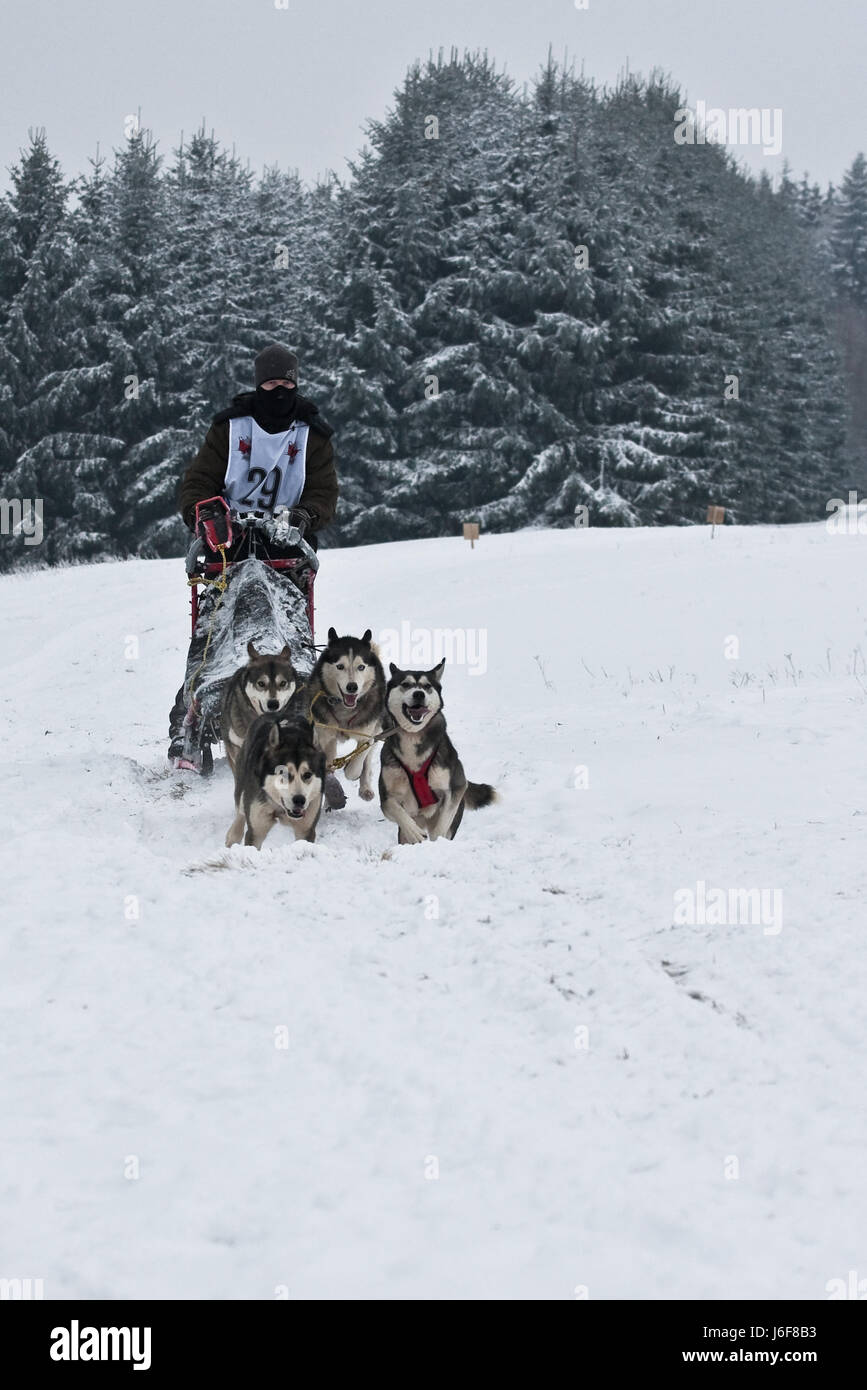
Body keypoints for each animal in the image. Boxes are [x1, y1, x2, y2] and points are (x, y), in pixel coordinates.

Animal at [226, 717, 325, 845]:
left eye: (307, 775)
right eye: (283, 772)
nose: (299, 800)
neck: (280, 809)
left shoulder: (306, 830)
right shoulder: (256, 830)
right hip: (241, 787)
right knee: (240, 810)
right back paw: (233, 836)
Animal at [304, 625, 386, 800]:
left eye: (361, 667)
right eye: (340, 666)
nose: (352, 687)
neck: (345, 709)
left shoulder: (367, 736)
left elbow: (356, 765)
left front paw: (351, 770)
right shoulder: (326, 734)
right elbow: (328, 757)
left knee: (367, 761)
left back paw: (365, 787)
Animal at [377, 661, 494, 845]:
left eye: (427, 686)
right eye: (405, 684)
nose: (419, 694)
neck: (413, 736)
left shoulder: (457, 787)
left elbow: (442, 825)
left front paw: (437, 841)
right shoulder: (386, 796)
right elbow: (396, 810)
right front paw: (414, 832)